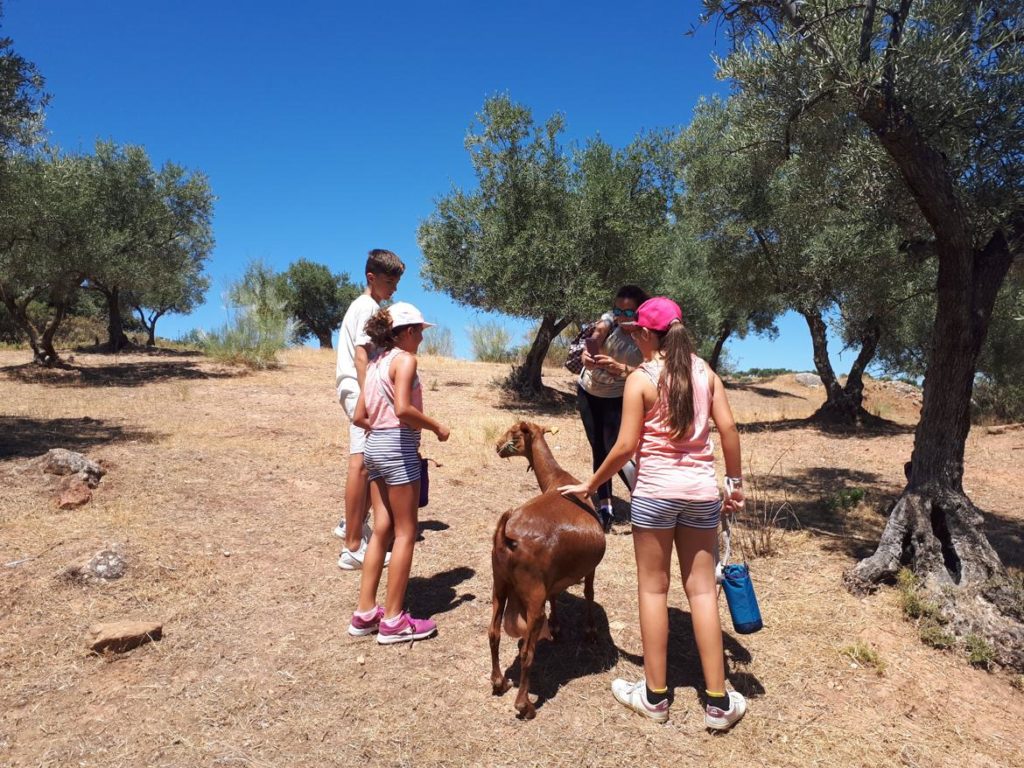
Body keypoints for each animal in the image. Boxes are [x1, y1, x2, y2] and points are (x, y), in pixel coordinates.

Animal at [489, 423, 602, 720]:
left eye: (515, 435)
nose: (497, 446)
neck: (558, 480)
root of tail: (506, 538)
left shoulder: (554, 575)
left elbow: (558, 594)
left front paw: (558, 626)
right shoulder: (589, 568)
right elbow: (589, 593)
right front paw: (590, 631)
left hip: (499, 583)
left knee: (493, 632)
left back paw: (498, 682)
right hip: (532, 596)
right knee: (528, 652)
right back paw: (524, 705)